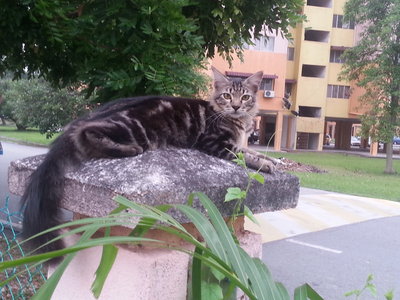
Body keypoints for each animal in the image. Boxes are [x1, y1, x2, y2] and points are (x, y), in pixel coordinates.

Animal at [20, 67, 276, 255]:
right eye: (226, 96)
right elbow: (243, 154)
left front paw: (272, 159)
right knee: (86, 134)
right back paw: (128, 149)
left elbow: (253, 150)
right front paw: (265, 163)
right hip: (133, 128)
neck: (239, 123)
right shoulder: (215, 143)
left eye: (245, 97)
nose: (236, 106)